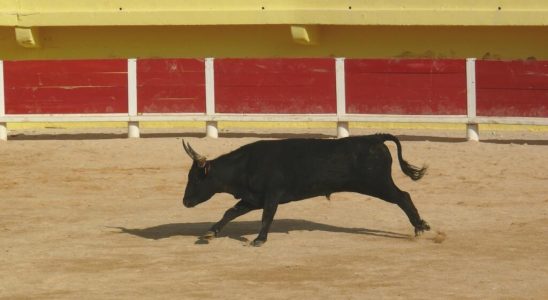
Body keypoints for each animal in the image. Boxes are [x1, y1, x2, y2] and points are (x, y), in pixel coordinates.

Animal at [182, 134, 430, 246]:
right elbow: (230, 212)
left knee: (403, 197)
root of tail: (374, 138)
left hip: (378, 184)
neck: (245, 165)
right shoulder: (253, 198)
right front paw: (210, 233)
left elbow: (266, 217)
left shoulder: (272, 196)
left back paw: (420, 226)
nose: (185, 202)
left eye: (195, 179)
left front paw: (259, 239)